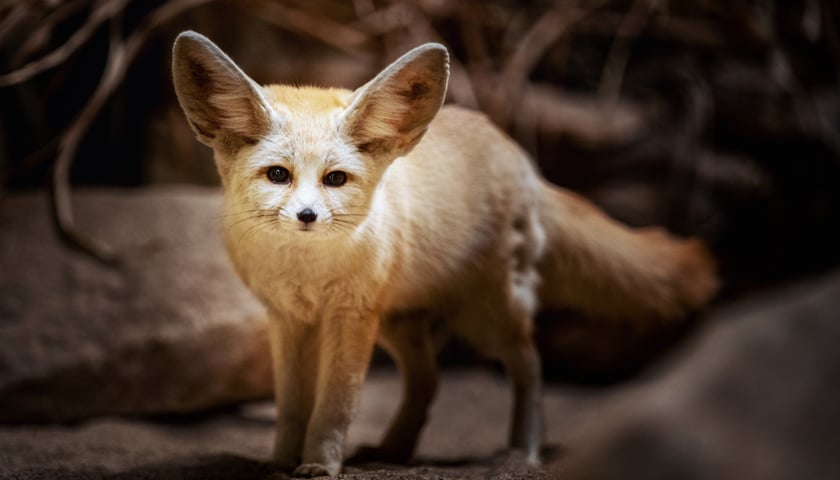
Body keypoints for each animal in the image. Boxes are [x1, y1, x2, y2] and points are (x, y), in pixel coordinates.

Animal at [171, 31, 716, 478]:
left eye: (335, 179)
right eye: (278, 176)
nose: (307, 216)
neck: (304, 271)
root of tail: (517, 152)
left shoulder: (349, 317)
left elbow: (334, 404)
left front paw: (320, 464)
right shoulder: (287, 318)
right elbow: (291, 406)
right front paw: (282, 461)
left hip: (488, 319)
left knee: (530, 365)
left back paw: (523, 451)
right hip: (399, 324)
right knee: (429, 381)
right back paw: (393, 450)